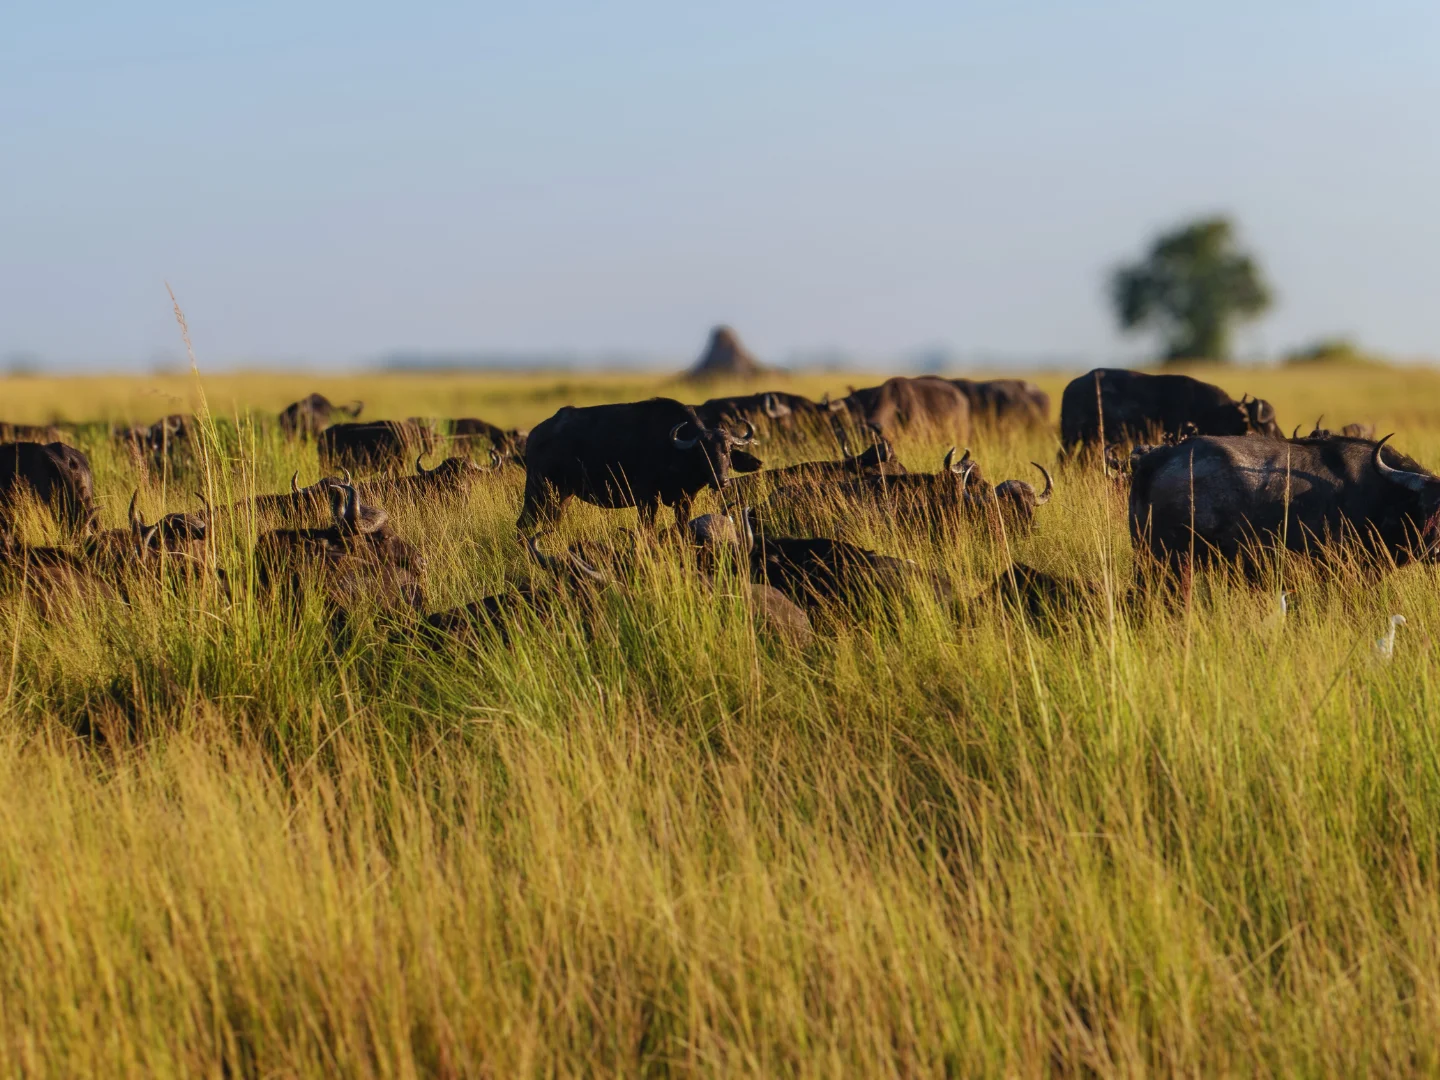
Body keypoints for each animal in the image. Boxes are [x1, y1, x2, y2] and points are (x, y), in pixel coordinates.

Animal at [517, 398, 762, 533]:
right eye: (702, 452)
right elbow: (647, 529)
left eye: (728, 450)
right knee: (523, 524)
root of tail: (535, 435)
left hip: (563, 496)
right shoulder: (646, 499)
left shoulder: (685, 499)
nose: (722, 481)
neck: (673, 451)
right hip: (538, 491)